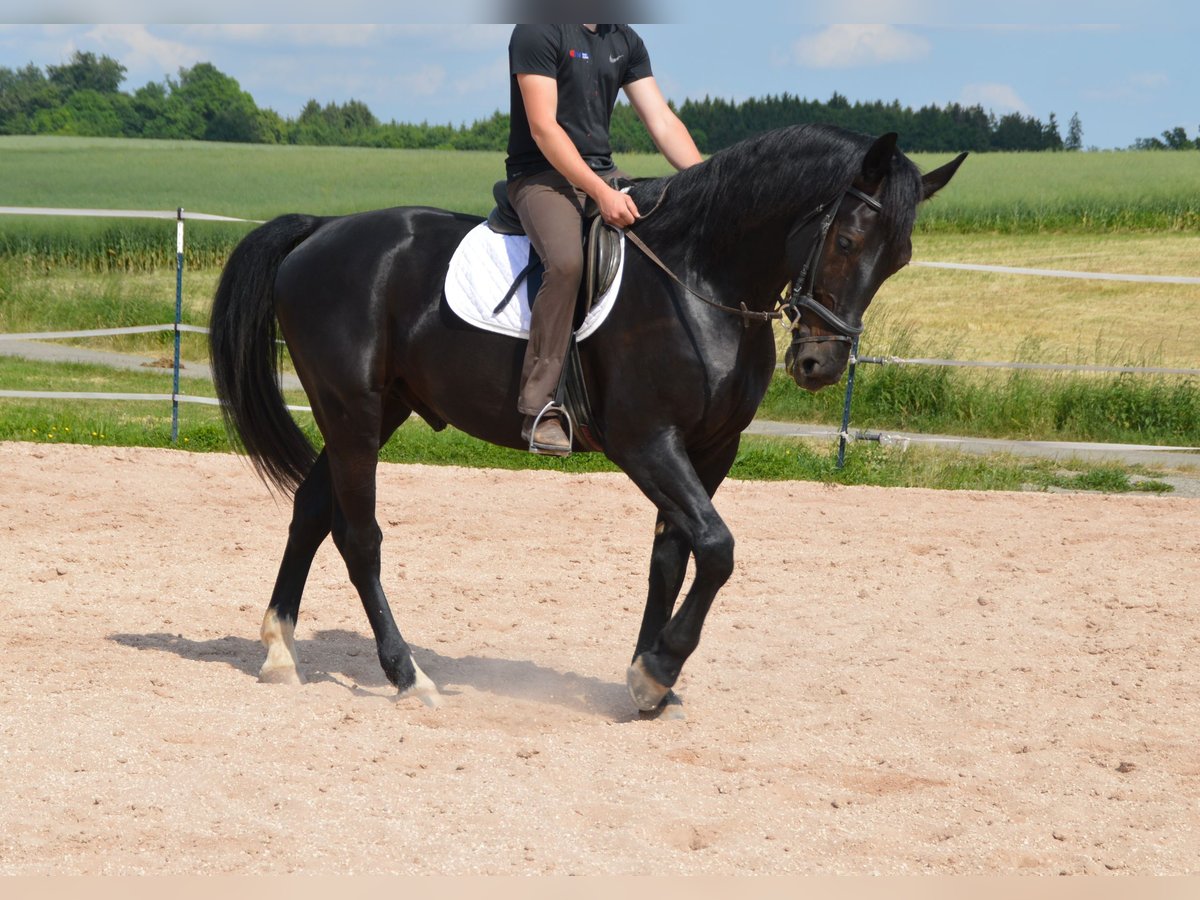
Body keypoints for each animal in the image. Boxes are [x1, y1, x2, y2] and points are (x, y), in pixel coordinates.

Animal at [208, 123, 964, 715]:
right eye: (846, 241)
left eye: (897, 259)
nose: (819, 364)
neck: (699, 281)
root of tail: (320, 231)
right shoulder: (646, 442)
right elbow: (718, 548)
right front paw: (658, 669)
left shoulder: (711, 449)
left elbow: (674, 555)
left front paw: (651, 680)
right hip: (353, 411)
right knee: (358, 535)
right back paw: (406, 675)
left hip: (378, 408)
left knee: (311, 508)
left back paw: (280, 653)